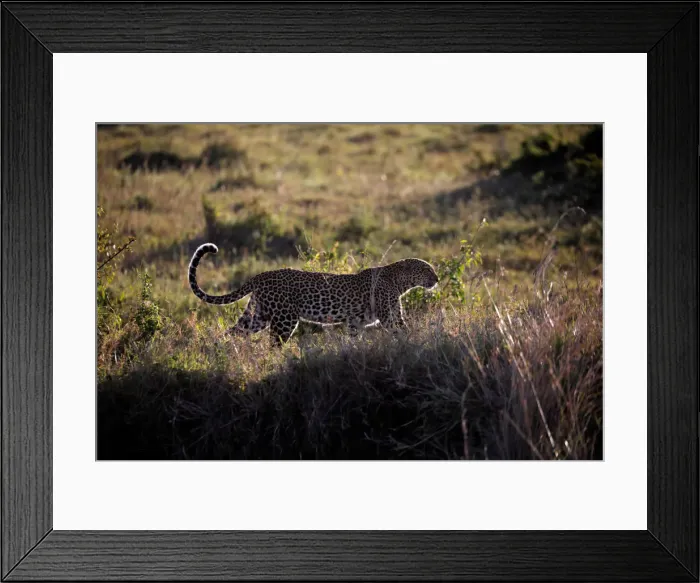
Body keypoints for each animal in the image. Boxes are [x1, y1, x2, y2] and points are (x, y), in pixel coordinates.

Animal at [188, 243, 439, 345]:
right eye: (427, 269)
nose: (436, 279)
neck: (400, 282)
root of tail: (260, 275)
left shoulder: (355, 322)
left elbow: (353, 339)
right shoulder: (389, 317)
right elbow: (403, 331)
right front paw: (418, 342)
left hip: (257, 315)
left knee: (233, 332)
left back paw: (217, 351)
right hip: (284, 319)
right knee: (273, 344)